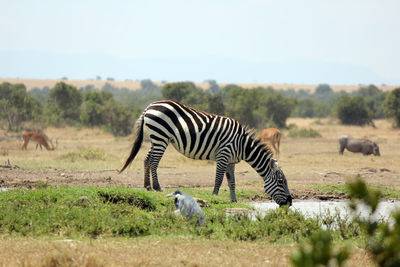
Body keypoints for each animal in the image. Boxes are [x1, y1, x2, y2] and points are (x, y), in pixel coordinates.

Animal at [119, 100, 290, 207]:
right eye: (281, 182)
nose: (290, 203)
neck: (242, 145)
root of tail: (149, 106)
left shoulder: (231, 161)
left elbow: (232, 182)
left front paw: (234, 200)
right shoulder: (223, 155)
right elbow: (219, 179)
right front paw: (214, 196)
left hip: (156, 137)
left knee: (147, 159)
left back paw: (147, 186)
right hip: (161, 136)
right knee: (154, 162)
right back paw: (158, 187)